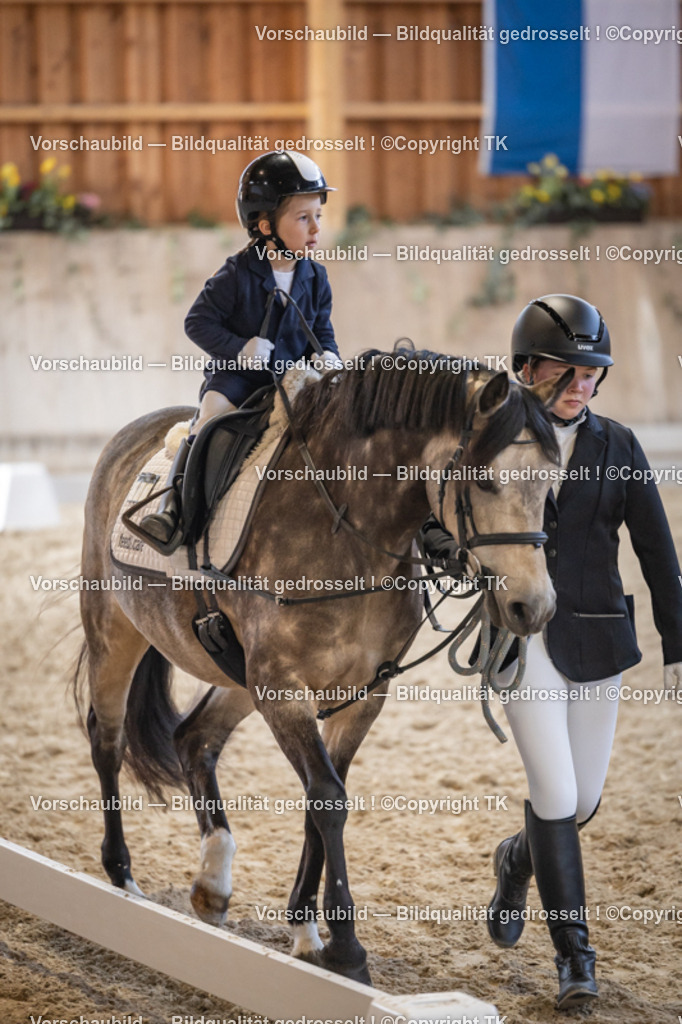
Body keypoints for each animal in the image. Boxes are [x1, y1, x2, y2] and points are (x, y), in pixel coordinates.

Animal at [73, 350, 570, 985]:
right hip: (116, 631)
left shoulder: (360, 694)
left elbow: (321, 798)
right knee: (107, 740)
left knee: (194, 738)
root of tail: (131, 434)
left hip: (238, 678)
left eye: (551, 483)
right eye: (486, 479)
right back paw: (122, 877)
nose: (534, 608)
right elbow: (329, 799)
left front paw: (307, 933)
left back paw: (213, 881)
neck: (349, 531)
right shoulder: (283, 687)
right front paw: (346, 948)